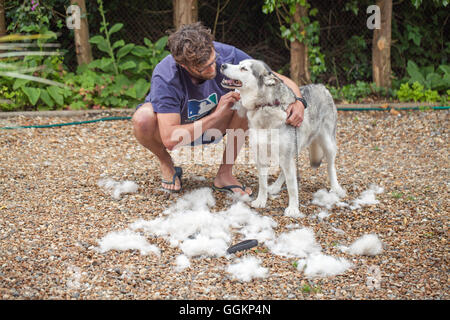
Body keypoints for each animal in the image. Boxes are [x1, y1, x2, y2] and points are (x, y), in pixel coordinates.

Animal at [221, 58, 344, 216]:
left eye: (244, 68)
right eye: (238, 63)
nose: (223, 65)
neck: (265, 106)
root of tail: (321, 86)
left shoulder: (286, 155)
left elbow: (292, 187)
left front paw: (293, 208)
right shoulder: (261, 155)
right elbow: (262, 183)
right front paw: (261, 201)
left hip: (326, 144)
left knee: (330, 166)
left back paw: (335, 187)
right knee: (284, 173)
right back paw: (275, 187)